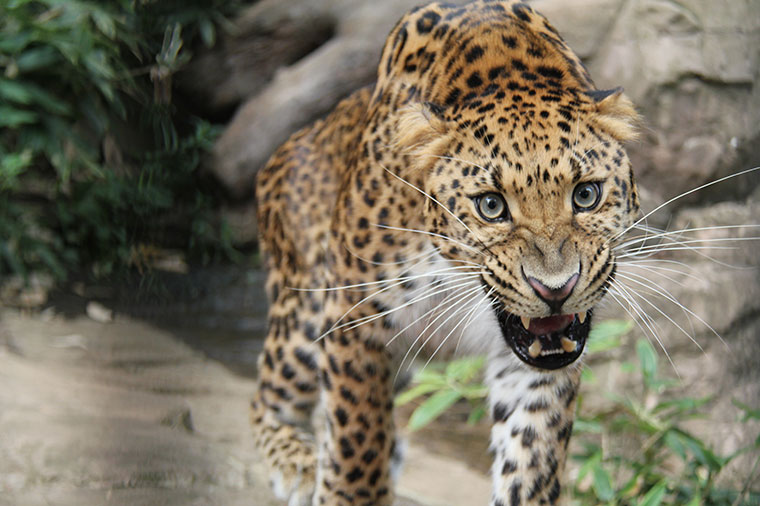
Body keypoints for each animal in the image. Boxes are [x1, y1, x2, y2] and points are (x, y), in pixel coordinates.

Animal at [251, 1, 640, 504]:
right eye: (491, 206)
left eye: (587, 195)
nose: (555, 289)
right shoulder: (355, 320)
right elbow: (357, 440)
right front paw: (347, 487)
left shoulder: (540, 362)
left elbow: (532, 458)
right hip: (301, 317)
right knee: (265, 394)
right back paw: (298, 463)